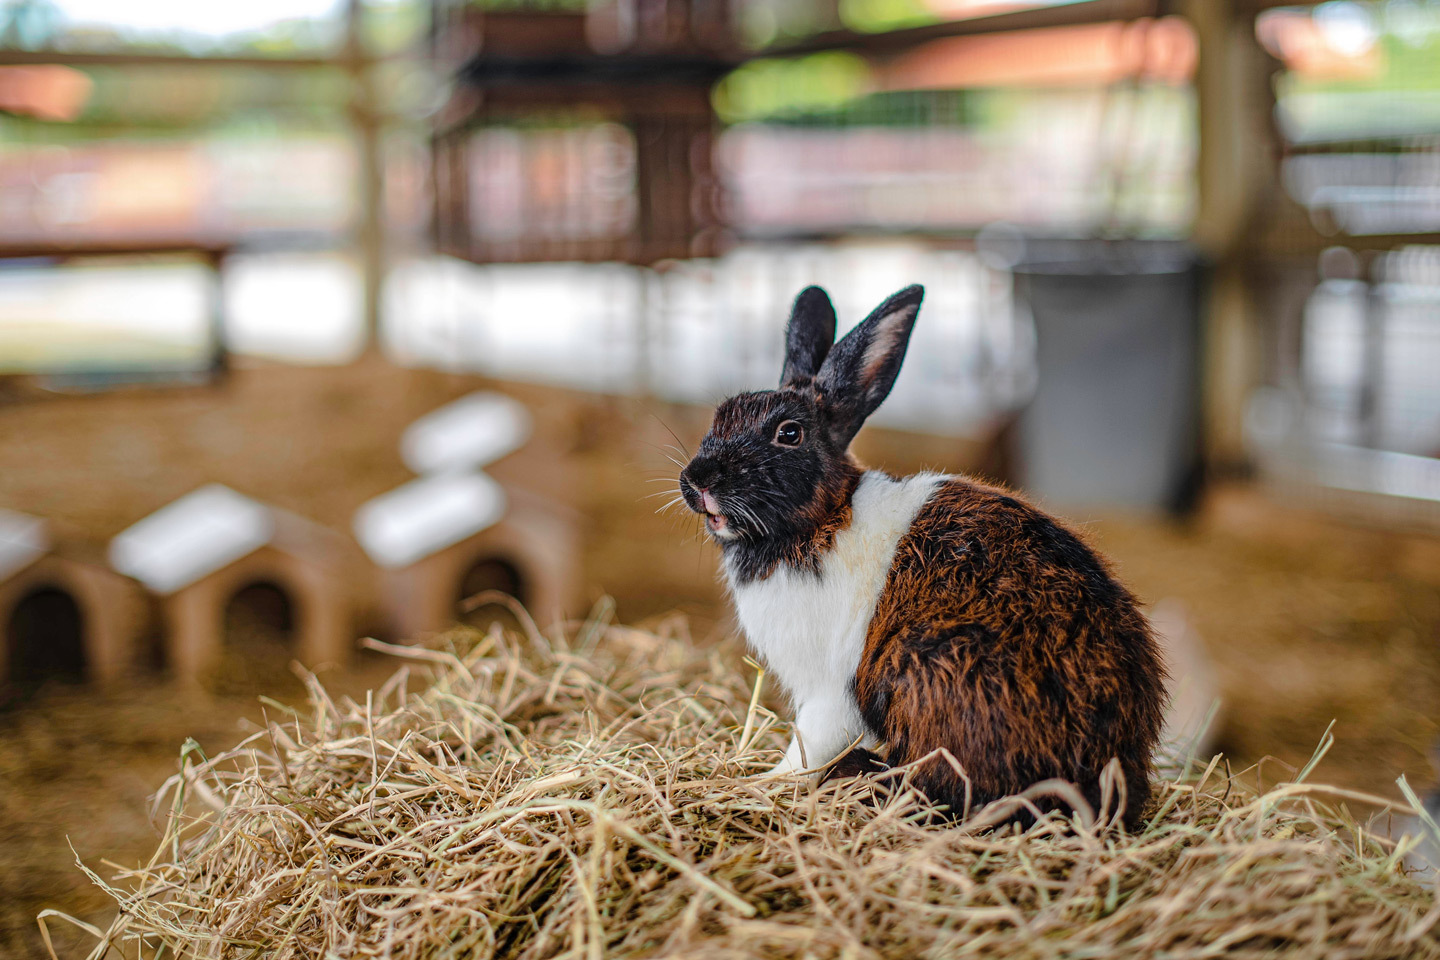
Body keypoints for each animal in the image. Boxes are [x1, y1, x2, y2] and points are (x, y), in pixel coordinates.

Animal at [676, 283, 1169, 829]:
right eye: (721, 415)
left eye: (789, 433)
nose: (697, 480)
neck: (818, 522)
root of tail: (1107, 773)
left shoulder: (830, 692)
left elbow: (807, 749)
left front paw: (763, 783)